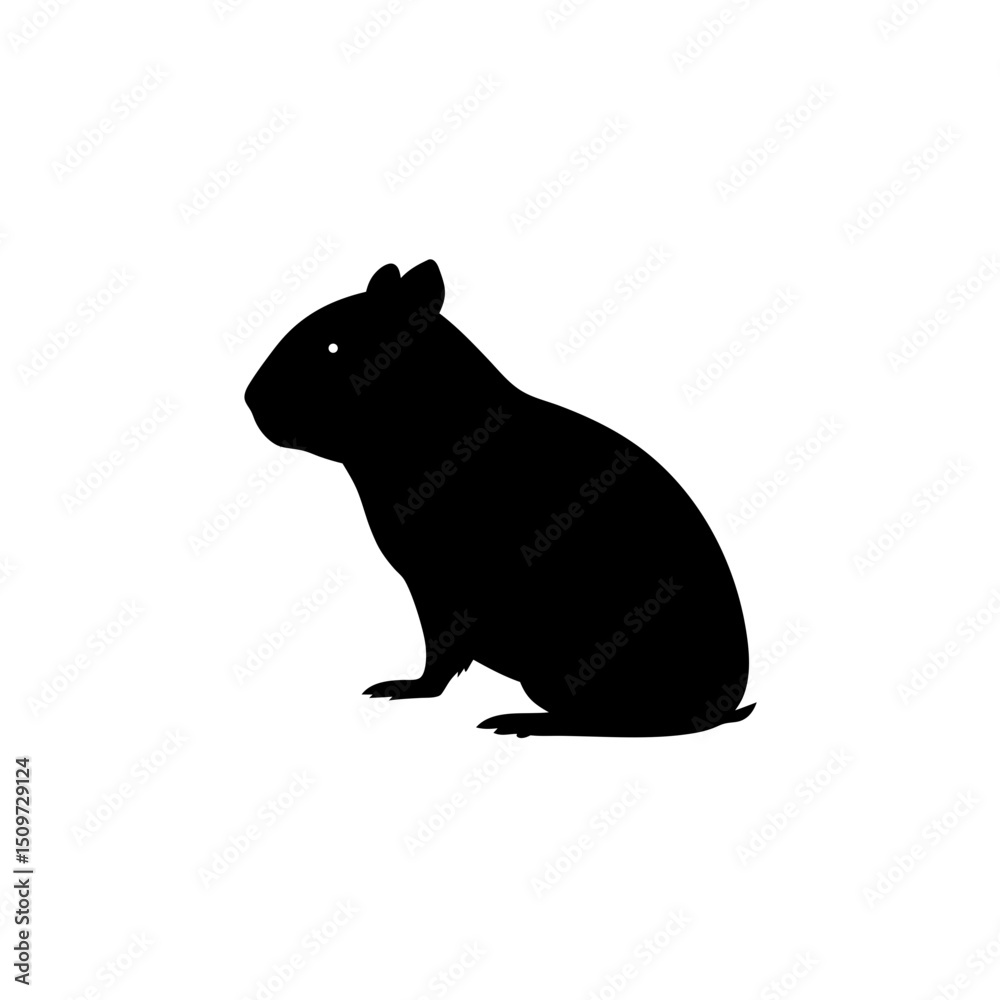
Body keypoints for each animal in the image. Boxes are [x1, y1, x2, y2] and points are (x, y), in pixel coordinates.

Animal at [245, 260, 754, 737]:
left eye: (333, 346)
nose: (250, 399)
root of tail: (726, 702)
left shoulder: (446, 589)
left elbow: (444, 653)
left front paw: (398, 691)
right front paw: (397, 689)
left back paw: (514, 721)